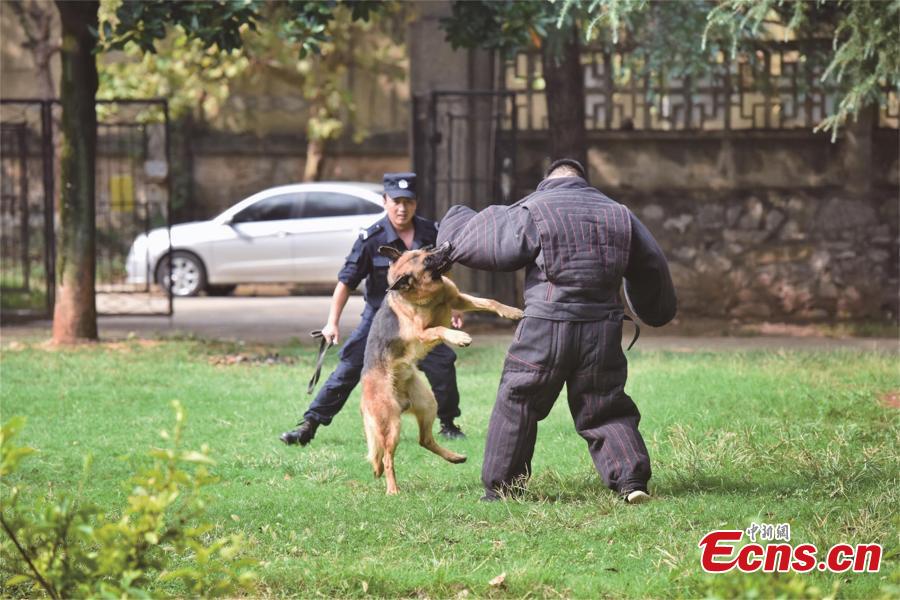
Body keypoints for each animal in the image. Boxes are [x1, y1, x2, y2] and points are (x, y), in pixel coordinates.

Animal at [362, 241, 524, 494]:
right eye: (427, 260)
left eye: (426, 249)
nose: (447, 244)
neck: (428, 296)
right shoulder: (423, 331)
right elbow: (439, 329)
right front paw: (459, 337)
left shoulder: (458, 299)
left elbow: (490, 302)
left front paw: (512, 311)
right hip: (391, 425)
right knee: (388, 458)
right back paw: (392, 489)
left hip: (428, 404)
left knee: (424, 440)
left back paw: (454, 457)